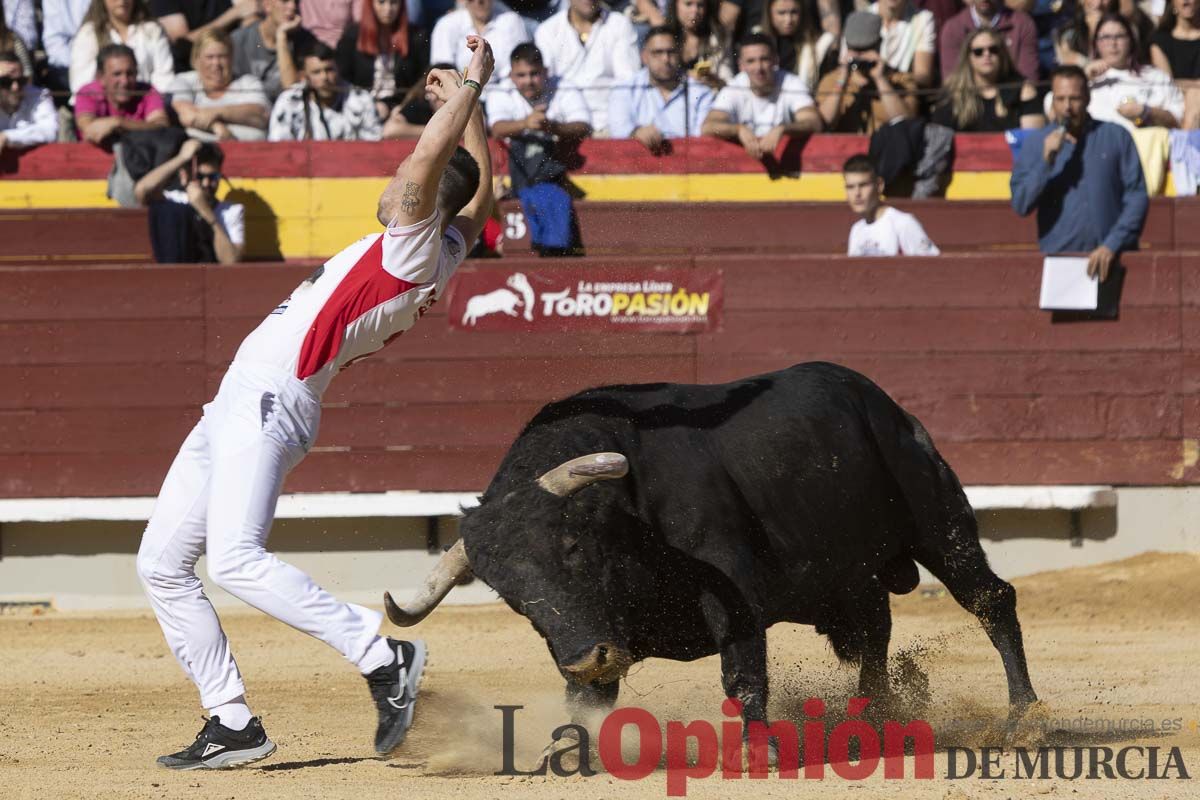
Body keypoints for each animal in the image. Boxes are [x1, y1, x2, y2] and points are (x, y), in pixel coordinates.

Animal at [386, 367, 1041, 729]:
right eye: (510, 596)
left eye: (572, 546)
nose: (588, 657)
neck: (627, 521)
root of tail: (882, 402)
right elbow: (587, 699)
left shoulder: (733, 591)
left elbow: (742, 672)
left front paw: (757, 751)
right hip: (848, 573)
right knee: (875, 630)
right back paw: (873, 716)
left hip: (937, 521)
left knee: (990, 601)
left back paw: (1023, 716)